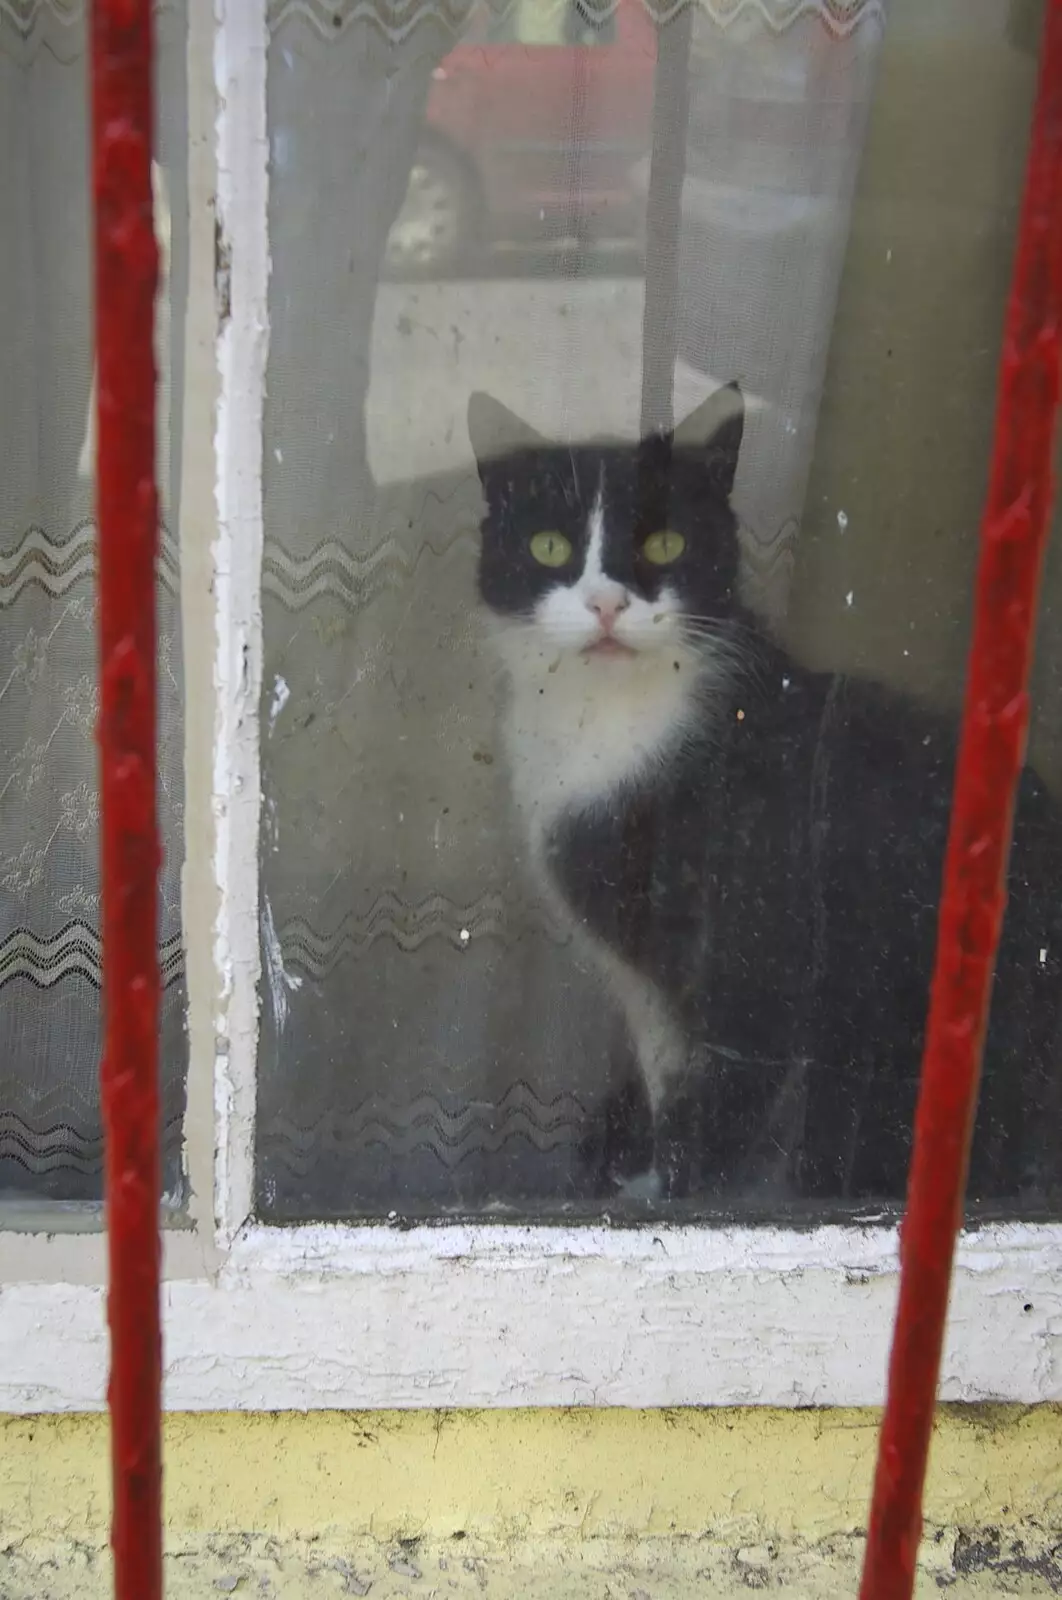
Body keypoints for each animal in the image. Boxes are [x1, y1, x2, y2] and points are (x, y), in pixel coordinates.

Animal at [470, 387, 1062, 1203]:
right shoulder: (644, 981)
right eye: (549, 547)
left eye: (666, 544)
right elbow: (665, 1064)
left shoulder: (758, 937)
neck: (609, 729)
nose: (608, 605)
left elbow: (733, 1077)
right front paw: (647, 1168)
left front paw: (679, 1191)